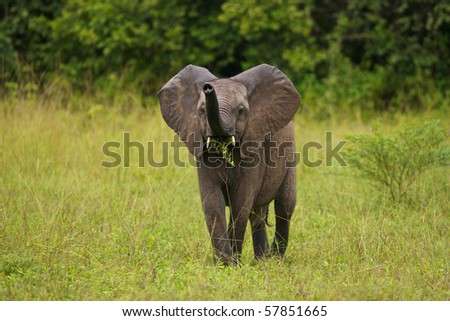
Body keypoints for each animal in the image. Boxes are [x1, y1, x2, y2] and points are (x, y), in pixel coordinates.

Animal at [158, 63, 302, 264]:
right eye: (202, 111)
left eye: (241, 111)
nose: (207, 88)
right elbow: (212, 202)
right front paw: (223, 263)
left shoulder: (253, 149)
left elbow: (241, 202)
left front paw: (233, 263)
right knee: (257, 213)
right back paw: (261, 260)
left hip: (289, 155)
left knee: (285, 205)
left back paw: (274, 259)